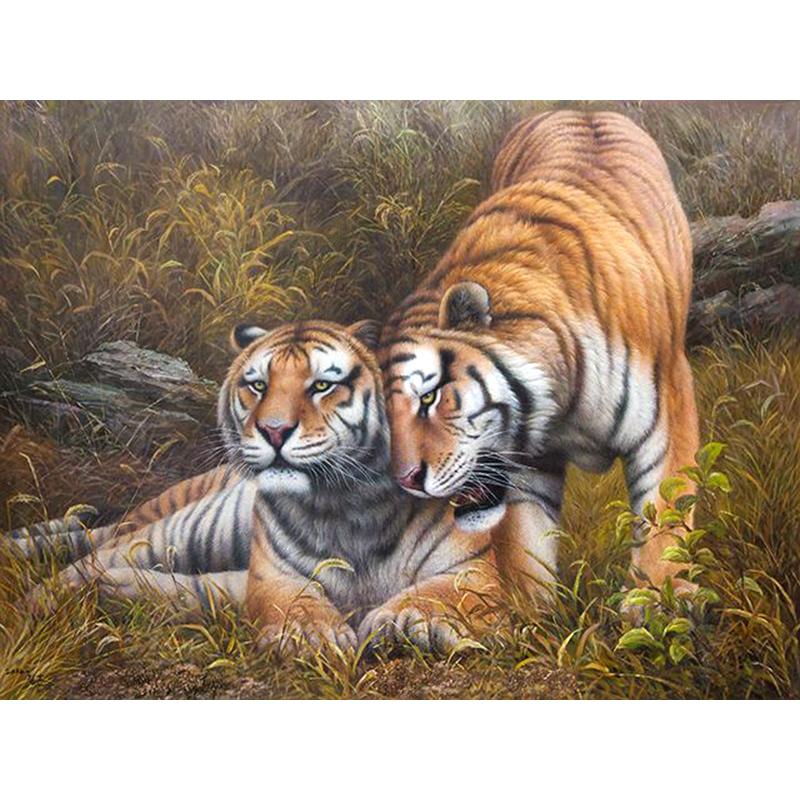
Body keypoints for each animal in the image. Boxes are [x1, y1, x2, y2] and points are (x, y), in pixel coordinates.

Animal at [25, 320, 498, 654]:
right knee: (96, 554)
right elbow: (294, 601)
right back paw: (42, 599)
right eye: (258, 386)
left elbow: (443, 592)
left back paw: (110, 593)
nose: (273, 431)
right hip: (186, 530)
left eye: (322, 385)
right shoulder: (273, 573)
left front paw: (404, 622)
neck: (353, 506)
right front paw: (312, 636)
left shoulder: (477, 567)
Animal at [379, 110, 699, 598]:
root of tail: (582, 109)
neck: (563, 403)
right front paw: (532, 613)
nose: (406, 480)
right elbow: (524, 548)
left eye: (429, 397)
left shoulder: (669, 412)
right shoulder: (529, 466)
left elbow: (664, 520)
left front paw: (657, 603)